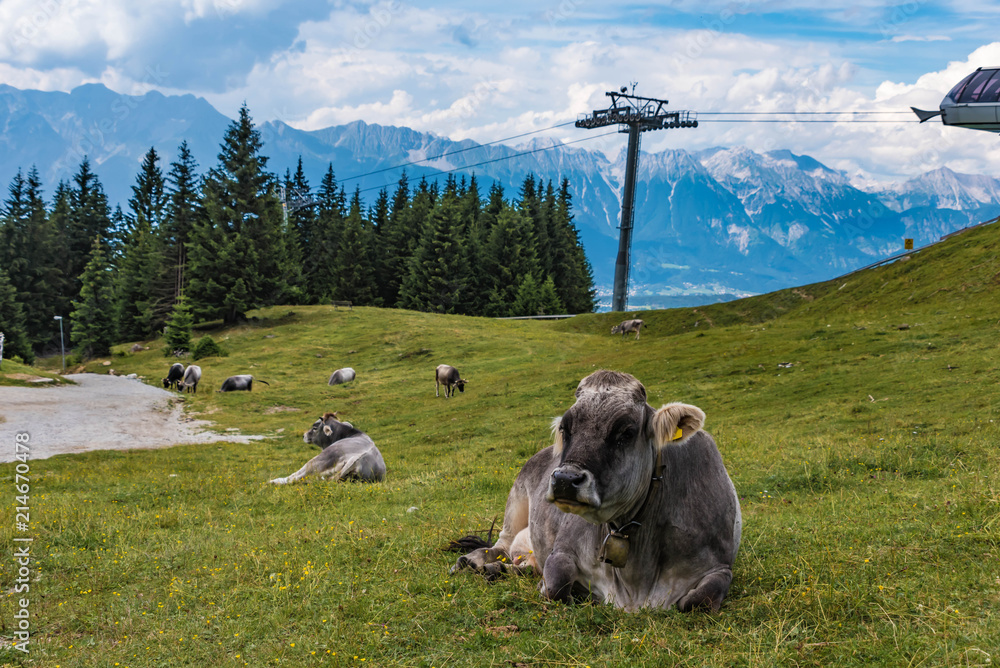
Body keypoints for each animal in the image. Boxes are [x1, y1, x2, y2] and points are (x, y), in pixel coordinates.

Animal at [449, 369, 741, 613]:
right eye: (565, 428)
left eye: (626, 432)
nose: (565, 479)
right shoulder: (562, 549)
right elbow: (556, 585)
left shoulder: (720, 567)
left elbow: (699, 600)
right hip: (515, 505)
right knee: (499, 545)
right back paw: (471, 562)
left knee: (522, 563)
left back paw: (498, 569)